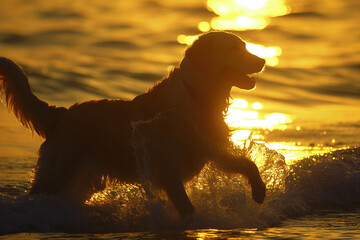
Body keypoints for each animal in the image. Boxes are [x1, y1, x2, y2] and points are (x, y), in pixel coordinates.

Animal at [0, 31, 268, 218]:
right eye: (233, 48)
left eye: (245, 47)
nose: (263, 60)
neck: (197, 95)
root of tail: (62, 114)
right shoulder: (166, 167)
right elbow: (186, 206)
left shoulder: (211, 148)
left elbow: (247, 164)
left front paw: (259, 190)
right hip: (57, 171)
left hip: (84, 178)